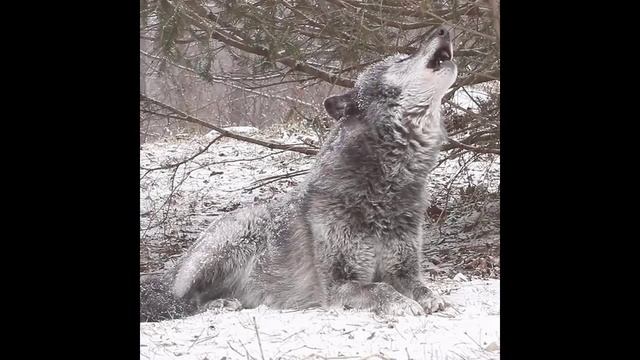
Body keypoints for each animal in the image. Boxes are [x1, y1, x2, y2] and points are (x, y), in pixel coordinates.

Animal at [142, 25, 458, 320]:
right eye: (402, 58)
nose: (445, 29)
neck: (385, 183)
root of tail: (174, 268)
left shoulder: (403, 270)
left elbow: (420, 286)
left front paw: (432, 299)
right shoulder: (339, 285)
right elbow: (380, 288)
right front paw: (403, 304)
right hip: (235, 236)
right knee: (183, 301)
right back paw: (218, 304)